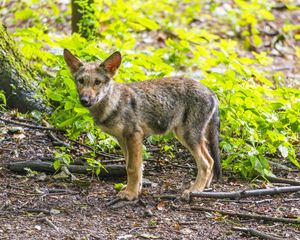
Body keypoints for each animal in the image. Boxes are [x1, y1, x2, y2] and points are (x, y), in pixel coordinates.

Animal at [63, 49, 220, 202]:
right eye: (81, 81)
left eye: (97, 82)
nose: (84, 100)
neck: (113, 104)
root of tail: (211, 91)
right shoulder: (123, 139)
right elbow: (134, 167)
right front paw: (135, 190)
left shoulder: (134, 135)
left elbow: (132, 168)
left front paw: (130, 194)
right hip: (188, 137)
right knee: (211, 161)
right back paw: (204, 188)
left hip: (187, 136)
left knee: (206, 163)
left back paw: (193, 191)